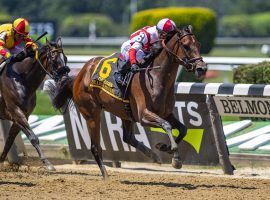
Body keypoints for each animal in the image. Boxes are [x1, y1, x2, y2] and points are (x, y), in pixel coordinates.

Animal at [0, 38, 69, 171]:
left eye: (66, 58)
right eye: (54, 59)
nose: (65, 80)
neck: (21, 79)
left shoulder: (22, 115)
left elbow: (9, 140)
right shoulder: (16, 111)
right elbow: (33, 137)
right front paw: (47, 163)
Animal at [48, 25, 207, 179]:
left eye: (198, 44)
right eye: (186, 46)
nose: (202, 69)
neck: (156, 77)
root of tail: (79, 76)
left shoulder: (166, 113)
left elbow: (183, 129)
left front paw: (164, 148)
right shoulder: (144, 115)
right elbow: (167, 125)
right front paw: (176, 158)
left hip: (125, 113)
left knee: (128, 137)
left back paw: (153, 155)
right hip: (92, 114)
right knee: (95, 147)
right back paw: (106, 175)